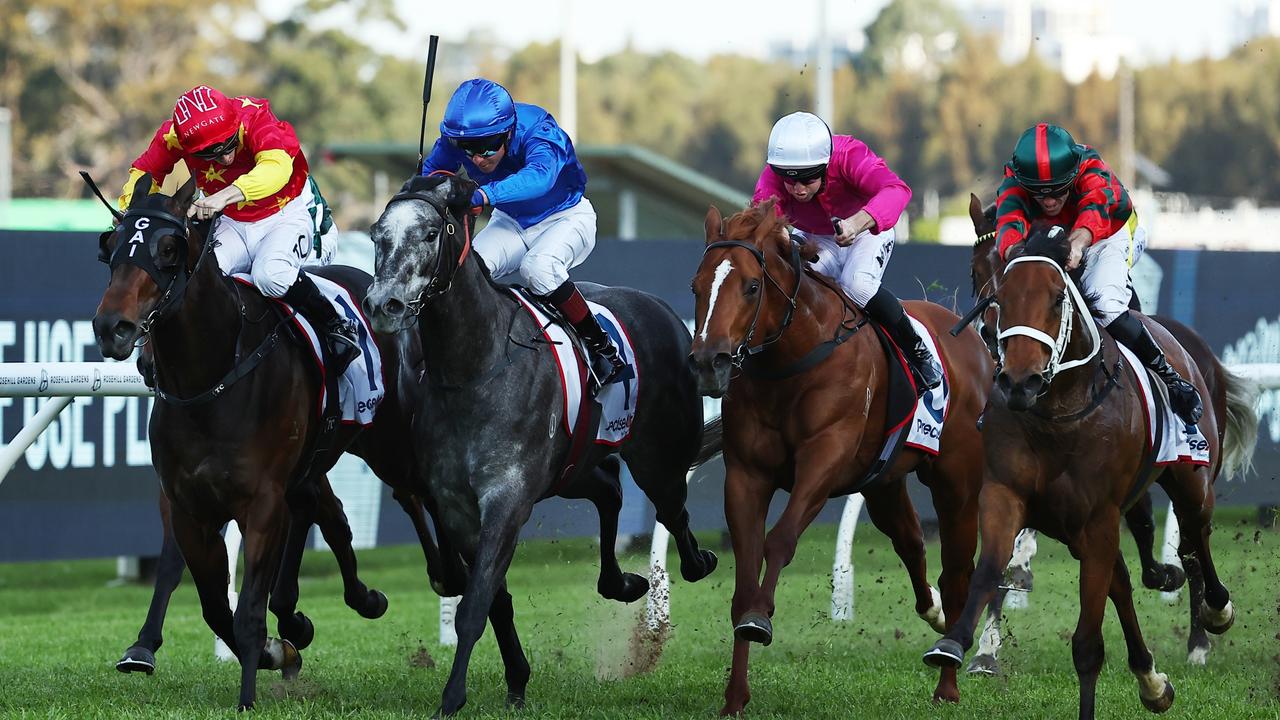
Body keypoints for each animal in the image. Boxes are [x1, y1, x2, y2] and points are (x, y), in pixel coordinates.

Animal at [92, 175, 435, 707]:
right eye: (109, 247)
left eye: (168, 248)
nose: (113, 328)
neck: (211, 379)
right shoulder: (188, 504)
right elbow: (215, 606)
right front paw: (282, 648)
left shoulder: (261, 501)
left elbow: (248, 611)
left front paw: (249, 694)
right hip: (315, 460)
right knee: (329, 513)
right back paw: (336, 604)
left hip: (388, 442)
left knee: (411, 494)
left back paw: (446, 575)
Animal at [363, 172, 721, 712]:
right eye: (377, 236)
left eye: (429, 233)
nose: (384, 305)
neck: (473, 367)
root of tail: (665, 311)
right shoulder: (457, 506)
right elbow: (494, 601)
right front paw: (516, 678)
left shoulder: (508, 497)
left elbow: (475, 604)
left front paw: (452, 696)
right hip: (571, 468)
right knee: (610, 491)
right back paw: (621, 582)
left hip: (656, 455)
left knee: (672, 509)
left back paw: (698, 563)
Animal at [686, 202, 993, 712]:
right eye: (696, 286)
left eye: (751, 286)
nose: (709, 362)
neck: (794, 358)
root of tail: (975, 342)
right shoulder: (747, 474)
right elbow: (745, 573)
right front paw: (734, 697)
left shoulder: (825, 458)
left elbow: (780, 540)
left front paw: (760, 618)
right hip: (884, 481)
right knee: (910, 541)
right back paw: (931, 610)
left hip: (958, 481)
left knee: (957, 571)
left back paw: (947, 680)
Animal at [921, 224, 1239, 717]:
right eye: (998, 295)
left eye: (1057, 299)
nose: (1019, 381)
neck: (1058, 410)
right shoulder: (1007, 494)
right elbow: (990, 570)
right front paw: (957, 646)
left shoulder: (1098, 519)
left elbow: (1088, 646)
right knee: (1130, 577)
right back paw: (1153, 677)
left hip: (1192, 478)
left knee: (1193, 539)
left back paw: (1213, 615)